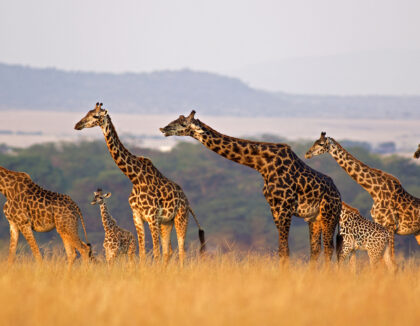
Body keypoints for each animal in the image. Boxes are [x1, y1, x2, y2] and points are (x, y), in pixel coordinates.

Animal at [75, 103, 207, 266]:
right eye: (88, 112)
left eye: (95, 116)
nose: (77, 125)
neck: (135, 178)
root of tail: (187, 202)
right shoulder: (137, 216)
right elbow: (143, 253)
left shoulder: (152, 217)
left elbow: (155, 253)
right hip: (166, 223)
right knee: (168, 251)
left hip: (180, 218)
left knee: (181, 250)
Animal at [160, 111, 342, 262]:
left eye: (183, 124)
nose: (163, 128)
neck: (262, 164)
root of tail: (339, 196)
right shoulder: (274, 208)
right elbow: (282, 249)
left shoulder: (284, 207)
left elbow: (284, 249)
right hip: (314, 219)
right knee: (316, 249)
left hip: (329, 215)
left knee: (329, 248)